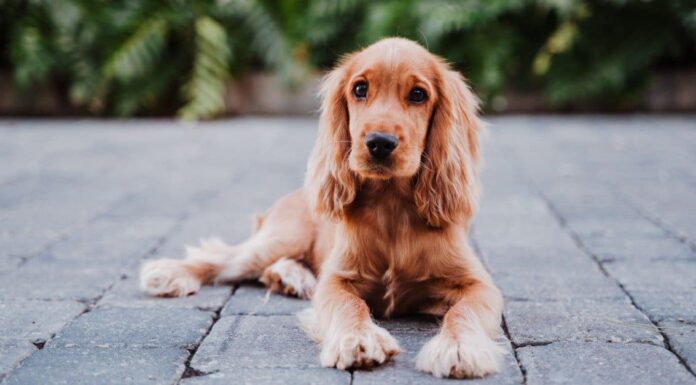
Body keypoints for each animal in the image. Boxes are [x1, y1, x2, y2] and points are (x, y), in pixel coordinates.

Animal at [139, 36, 502, 378]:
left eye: (417, 95)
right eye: (360, 89)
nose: (379, 143)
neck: (392, 207)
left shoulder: (477, 284)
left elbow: (463, 311)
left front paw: (458, 348)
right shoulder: (337, 279)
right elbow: (349, 305)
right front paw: (357, 340)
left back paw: (289, 277)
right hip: (282, 238)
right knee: (224, 258)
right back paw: (170, 273)